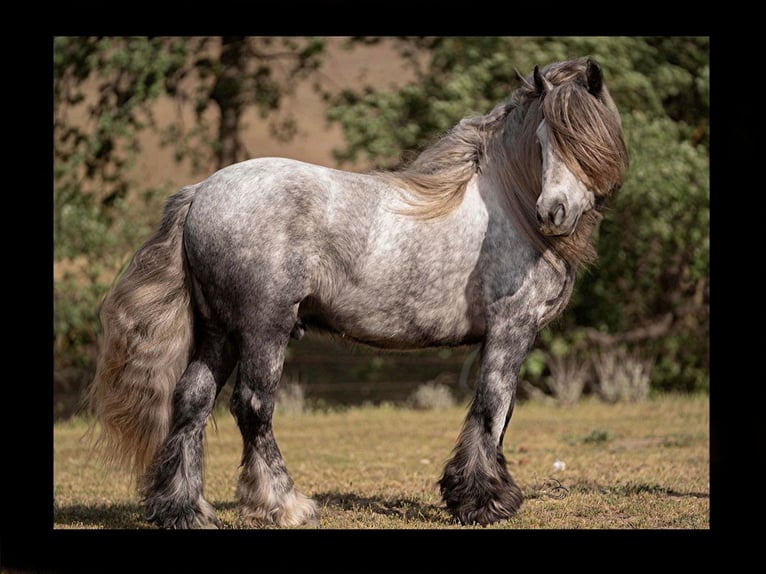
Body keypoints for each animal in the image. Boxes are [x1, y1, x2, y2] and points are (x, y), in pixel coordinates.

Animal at [90, 56, 632, 528]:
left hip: (218, 333)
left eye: (582, 138)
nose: (553, 212)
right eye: (544, 139)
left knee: (192, 403)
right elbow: (493, 406)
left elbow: (501, 409)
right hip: (263, 329)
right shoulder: (510, 328)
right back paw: (286, 505)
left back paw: (184, 510)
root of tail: (200, 192)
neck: (507, 203)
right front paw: (484, 501)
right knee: (252, 407)